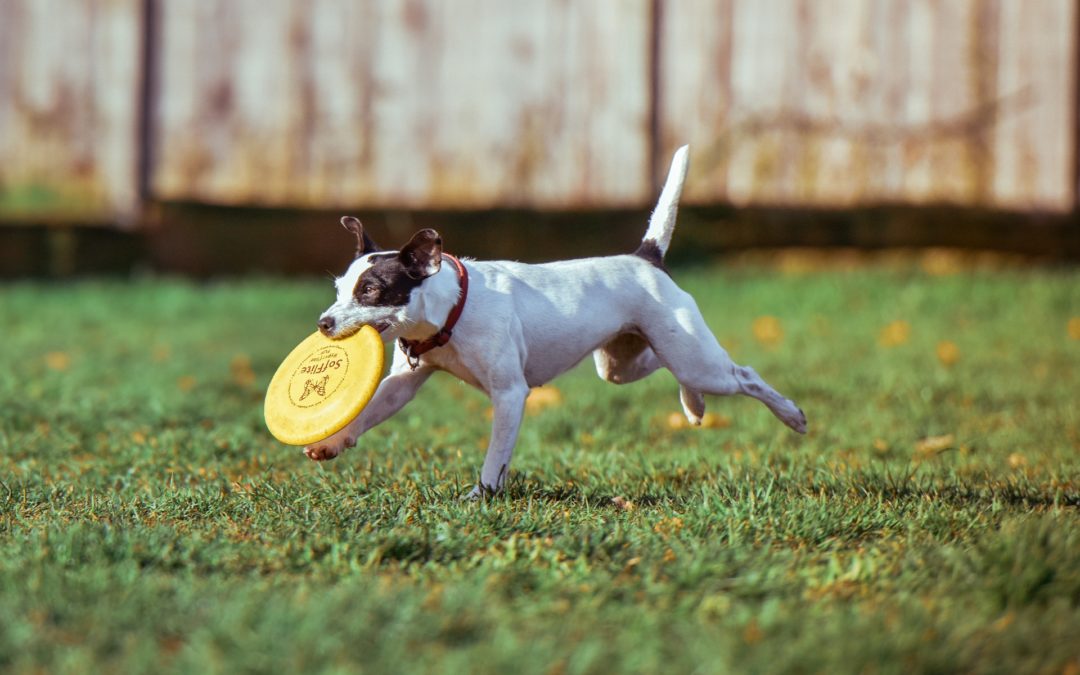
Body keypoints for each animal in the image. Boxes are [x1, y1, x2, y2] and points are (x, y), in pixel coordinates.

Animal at [308, 145, 807, 494]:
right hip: (622, 363)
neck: (451, 309)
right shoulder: (402, 383)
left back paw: (791, 414)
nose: (323, 324)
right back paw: (694, 404)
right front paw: (333, 441)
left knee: (744, 375)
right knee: (665, 367)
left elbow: (496, 456)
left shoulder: (510, 395)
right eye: (338, 289)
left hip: (695, 358)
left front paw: (481, 495)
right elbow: (370, 411)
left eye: (370, 291)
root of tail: (645, 257)